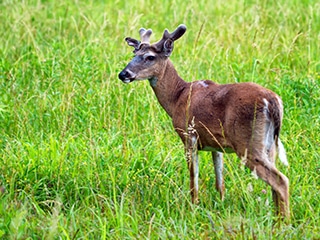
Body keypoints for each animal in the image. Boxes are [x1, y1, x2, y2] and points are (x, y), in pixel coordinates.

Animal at [118, 23, 290, 218]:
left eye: (150, 57)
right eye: (134, 54)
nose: (123, 74)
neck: (177, 97)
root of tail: (273, 102)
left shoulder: (188, 135)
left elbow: (193, 177)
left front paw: (193, 206)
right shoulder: (216, 144)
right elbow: (219, 180)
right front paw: (221, 204)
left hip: (248, 144)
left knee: (281, 181)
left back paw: (284, 221)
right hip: (269, 145)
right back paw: (276, 216)